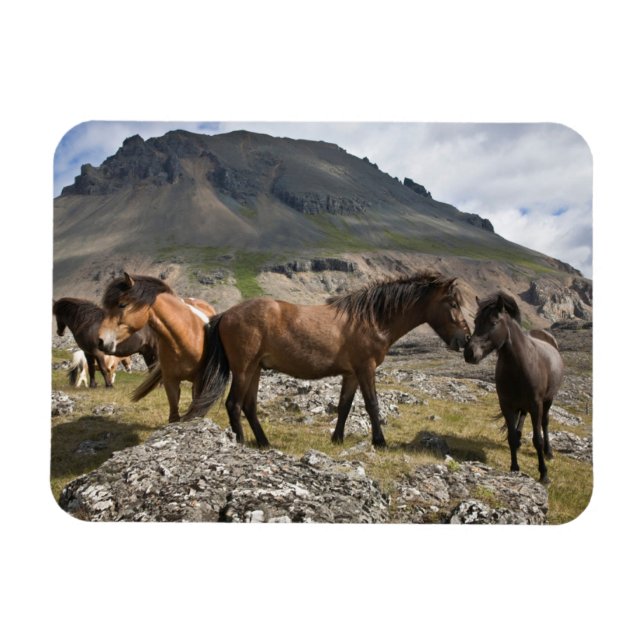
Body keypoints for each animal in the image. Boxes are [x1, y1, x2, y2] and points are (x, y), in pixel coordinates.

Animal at [97, 273, 217, 422]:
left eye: (122, 305)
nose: (100, 341)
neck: (184, 339)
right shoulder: (170, 381)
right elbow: (174, 416)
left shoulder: (199, 381)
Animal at [183, 271, 471, 448]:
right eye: (453, 303)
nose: (466, 339)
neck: (372, 319)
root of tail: (226, 314)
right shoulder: (366, 369)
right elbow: (372, 404)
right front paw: (380, 441)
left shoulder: (351, 373)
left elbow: (344, 406)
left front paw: (337, 439)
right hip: (243, 369)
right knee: (233, 404)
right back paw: (241, 442)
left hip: (255, 370)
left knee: (248, 406)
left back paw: (264, 443)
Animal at [463, 292, 564, 484]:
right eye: (475, 321)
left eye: (494, 322)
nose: (469, 353)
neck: (521, 365)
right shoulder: (507, 405)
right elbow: (511, 437)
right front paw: (514, 468)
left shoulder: (536, 405)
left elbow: (537, 439)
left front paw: (544, 474)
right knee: (521, 422)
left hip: (548, 400)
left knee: (545, 423)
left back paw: (549, 452)